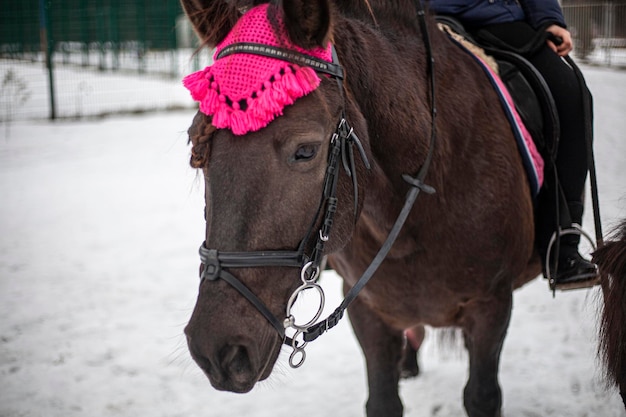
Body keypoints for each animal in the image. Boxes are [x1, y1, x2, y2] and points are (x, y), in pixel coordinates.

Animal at [177, 0, 624, 416]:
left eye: (306, 150)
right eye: (197, 149)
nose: (218, 349)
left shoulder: (491, 306)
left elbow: (481, 396)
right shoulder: (368, 310)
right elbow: (383, 399)